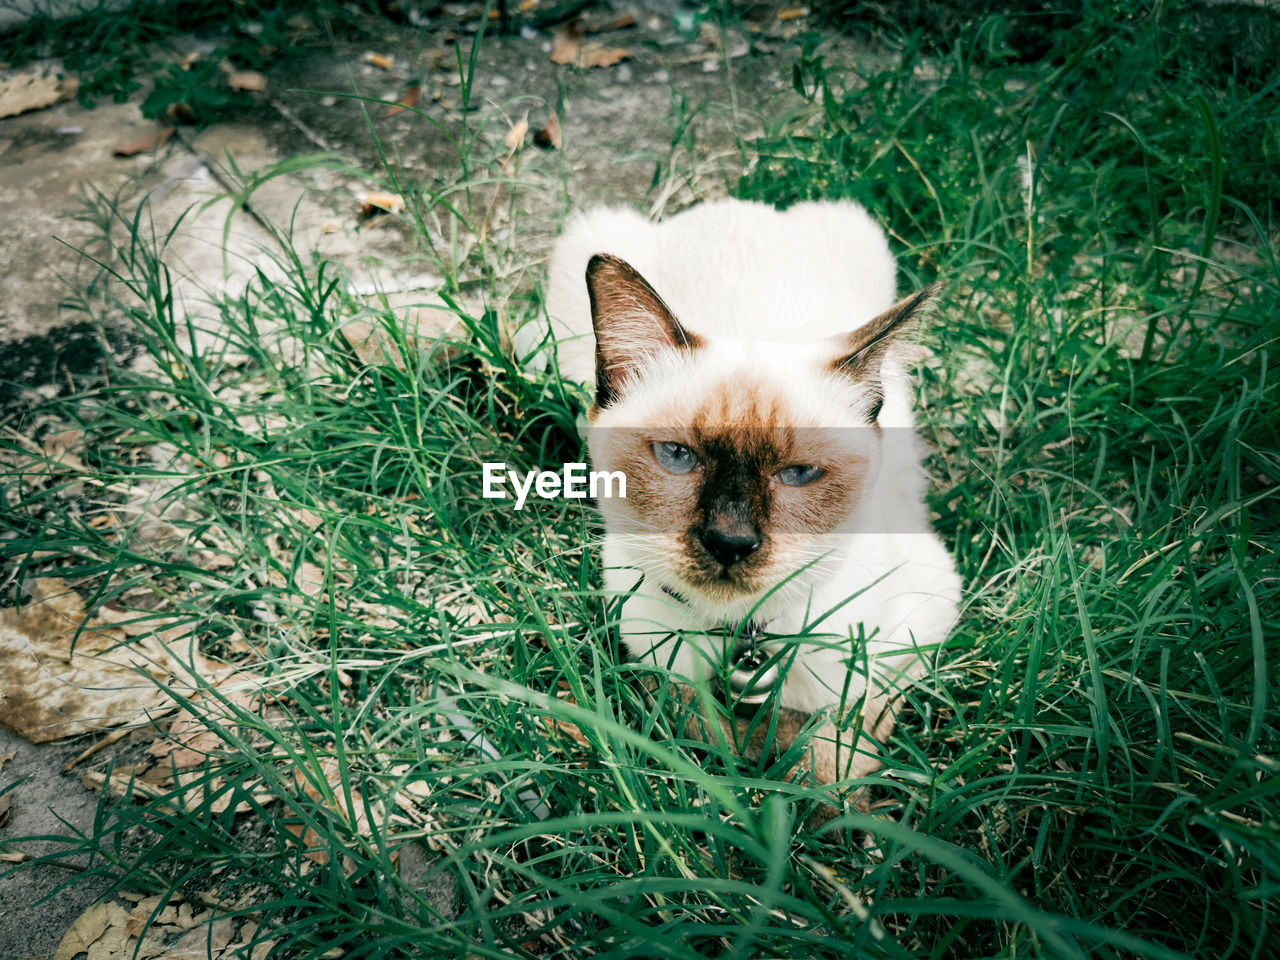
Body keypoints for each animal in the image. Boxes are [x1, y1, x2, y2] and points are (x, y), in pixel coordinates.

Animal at [540, 199, 962, 798]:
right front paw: (746, 771)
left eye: (798, 473)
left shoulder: (920, 624)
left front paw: (813, 802)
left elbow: (835, 749)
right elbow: (698, 731)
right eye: (677, 456)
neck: (743, 632)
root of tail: (725, 203)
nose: (729, 542)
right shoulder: (651, 652)